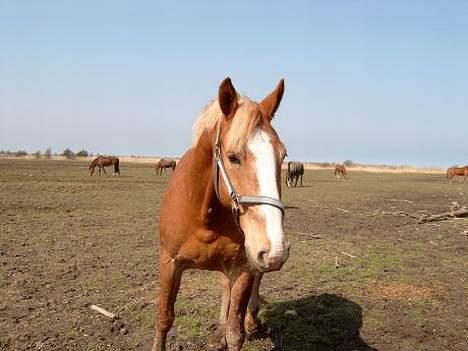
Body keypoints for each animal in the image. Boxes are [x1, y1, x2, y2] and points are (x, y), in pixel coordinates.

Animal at [152, 77, 288, 351]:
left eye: (282, 156)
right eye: (233, 157)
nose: (275, 250)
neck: (203, 219)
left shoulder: (244, 266)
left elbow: (236, 333)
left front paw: (237, 329)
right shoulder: (169, 262)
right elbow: (164, 318)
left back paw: (251, 320)